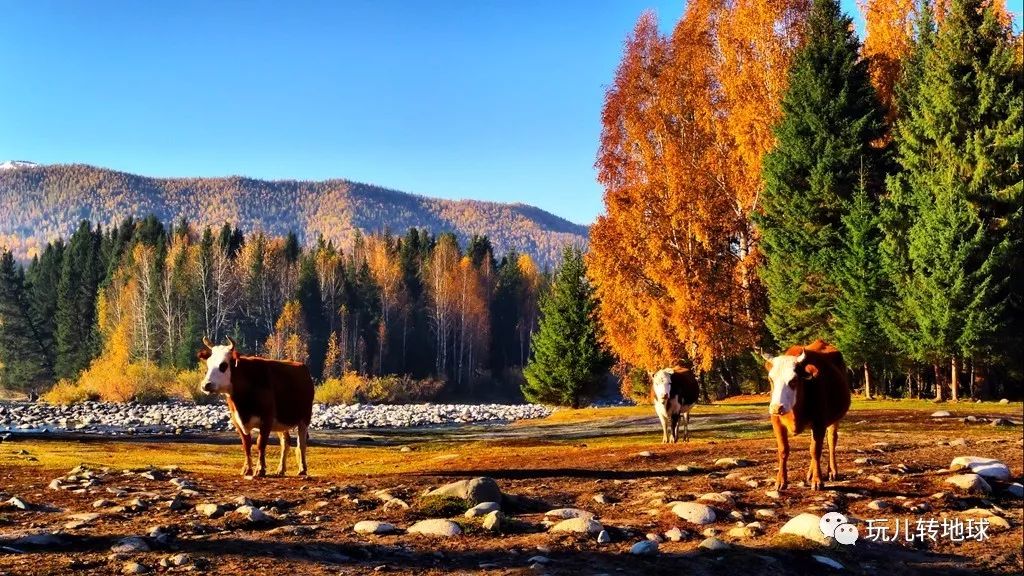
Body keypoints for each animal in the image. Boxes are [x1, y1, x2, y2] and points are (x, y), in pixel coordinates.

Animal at [197, 336, 313, 475]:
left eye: (223, 365)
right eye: (208, 364)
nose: (205, 385)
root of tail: (301, 366)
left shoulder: (267, 419)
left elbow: (260, 444)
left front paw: (260, 469)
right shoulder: (237, 421)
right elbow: (246, 445)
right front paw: (247, 469)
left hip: (305, 418)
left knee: (302, 443)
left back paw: (302, 469)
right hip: (281, 422)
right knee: (286, 442)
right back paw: (280, 469)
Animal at [765, 338, 851, 491]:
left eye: (793, 380)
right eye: (771, 380)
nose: (776, 407)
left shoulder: (819, 422)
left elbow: (815, 450)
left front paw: (818, 481)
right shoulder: (776, 421)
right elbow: (783, 450)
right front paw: (781, 481)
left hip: (835, 419)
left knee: (831, 440)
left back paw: (832, 471)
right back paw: (811, 473)